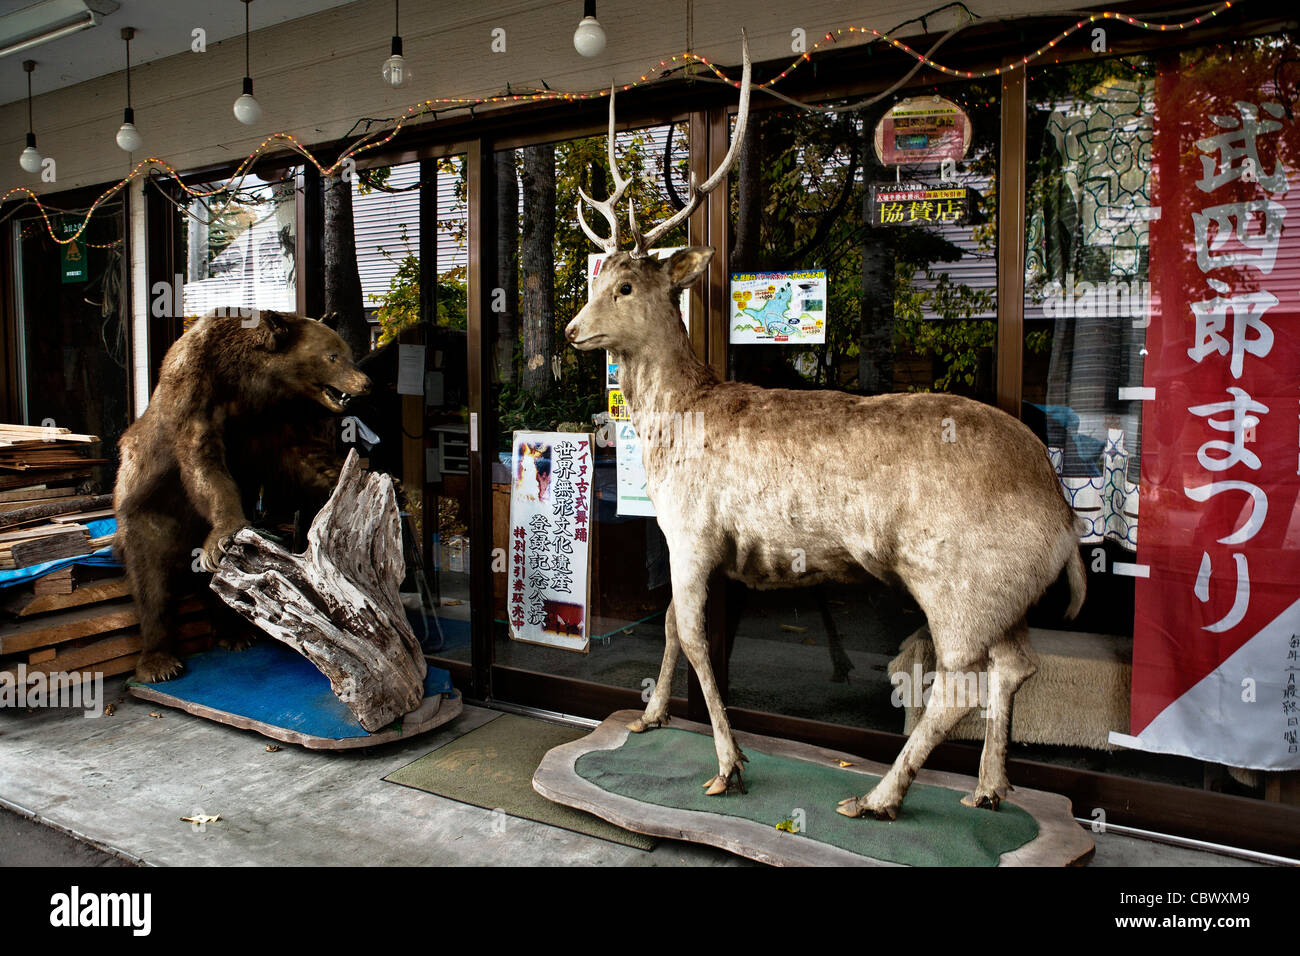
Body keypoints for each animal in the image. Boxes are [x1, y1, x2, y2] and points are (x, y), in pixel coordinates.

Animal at [114, 309, 372, 683]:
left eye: (348, 352)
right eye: (332, 356)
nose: (364, 382)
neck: (248, 382)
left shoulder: (270, 418)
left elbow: (300, 456)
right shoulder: (194, 388)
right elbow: (202, 458)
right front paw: (225, 531)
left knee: (228, 590)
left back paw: (236, 633)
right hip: (148, 519)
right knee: (152, 583)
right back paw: (159, 662)